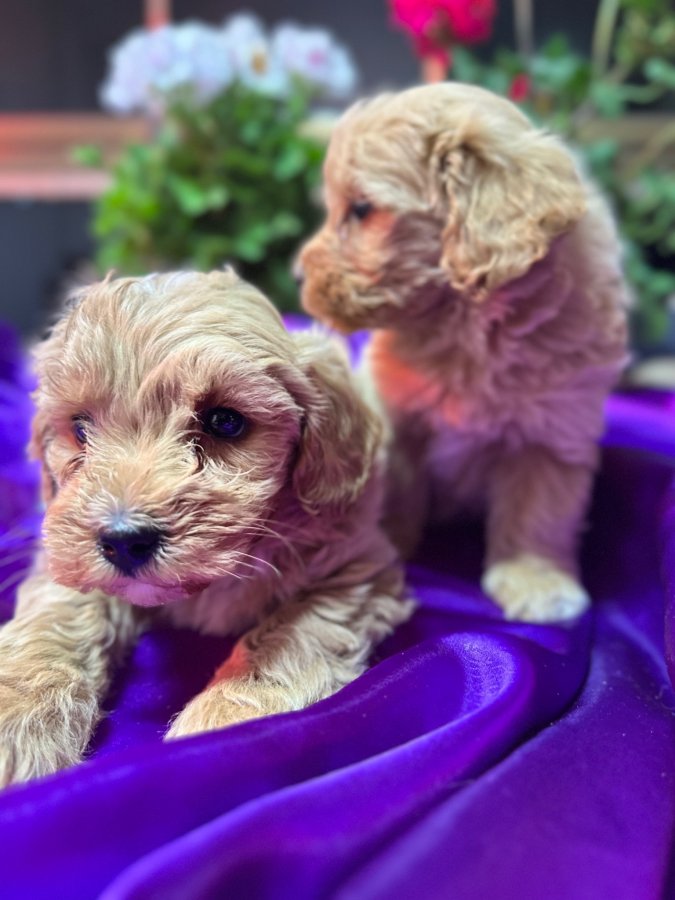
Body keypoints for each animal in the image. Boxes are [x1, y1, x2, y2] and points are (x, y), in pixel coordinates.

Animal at [0, 270, 412, 787]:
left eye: (224, 421)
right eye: (79, 428)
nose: (123, 541)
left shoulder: (356, 568)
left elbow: (289, 637)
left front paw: (223, 722)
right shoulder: (65, 558)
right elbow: (57, 619)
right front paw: (15, 716)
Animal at [298, 82, 630, 623]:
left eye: (362, 209)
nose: (297, 277)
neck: (467, 330)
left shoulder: (554, 432)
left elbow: (540, 511)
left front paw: (536, 580)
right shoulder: (396, 417)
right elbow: (393, 489)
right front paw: (383, 543)